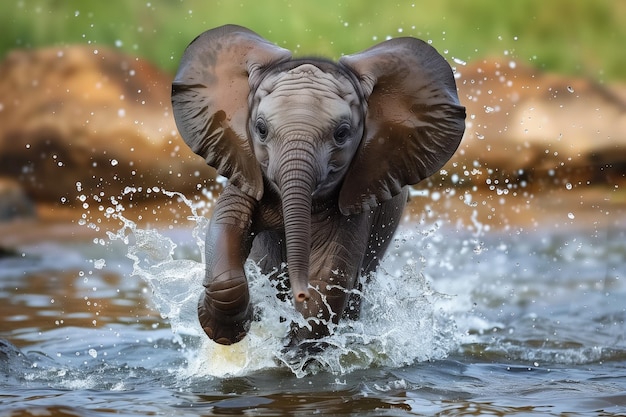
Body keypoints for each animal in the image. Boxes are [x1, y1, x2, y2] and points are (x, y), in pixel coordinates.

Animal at [171, 24, 464, 346]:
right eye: (260, 129)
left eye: (342, 133)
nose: (298, 292)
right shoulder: (246, 170)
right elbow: (226, 227)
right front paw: (232, 327)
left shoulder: (357, 194)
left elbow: (326, 282)